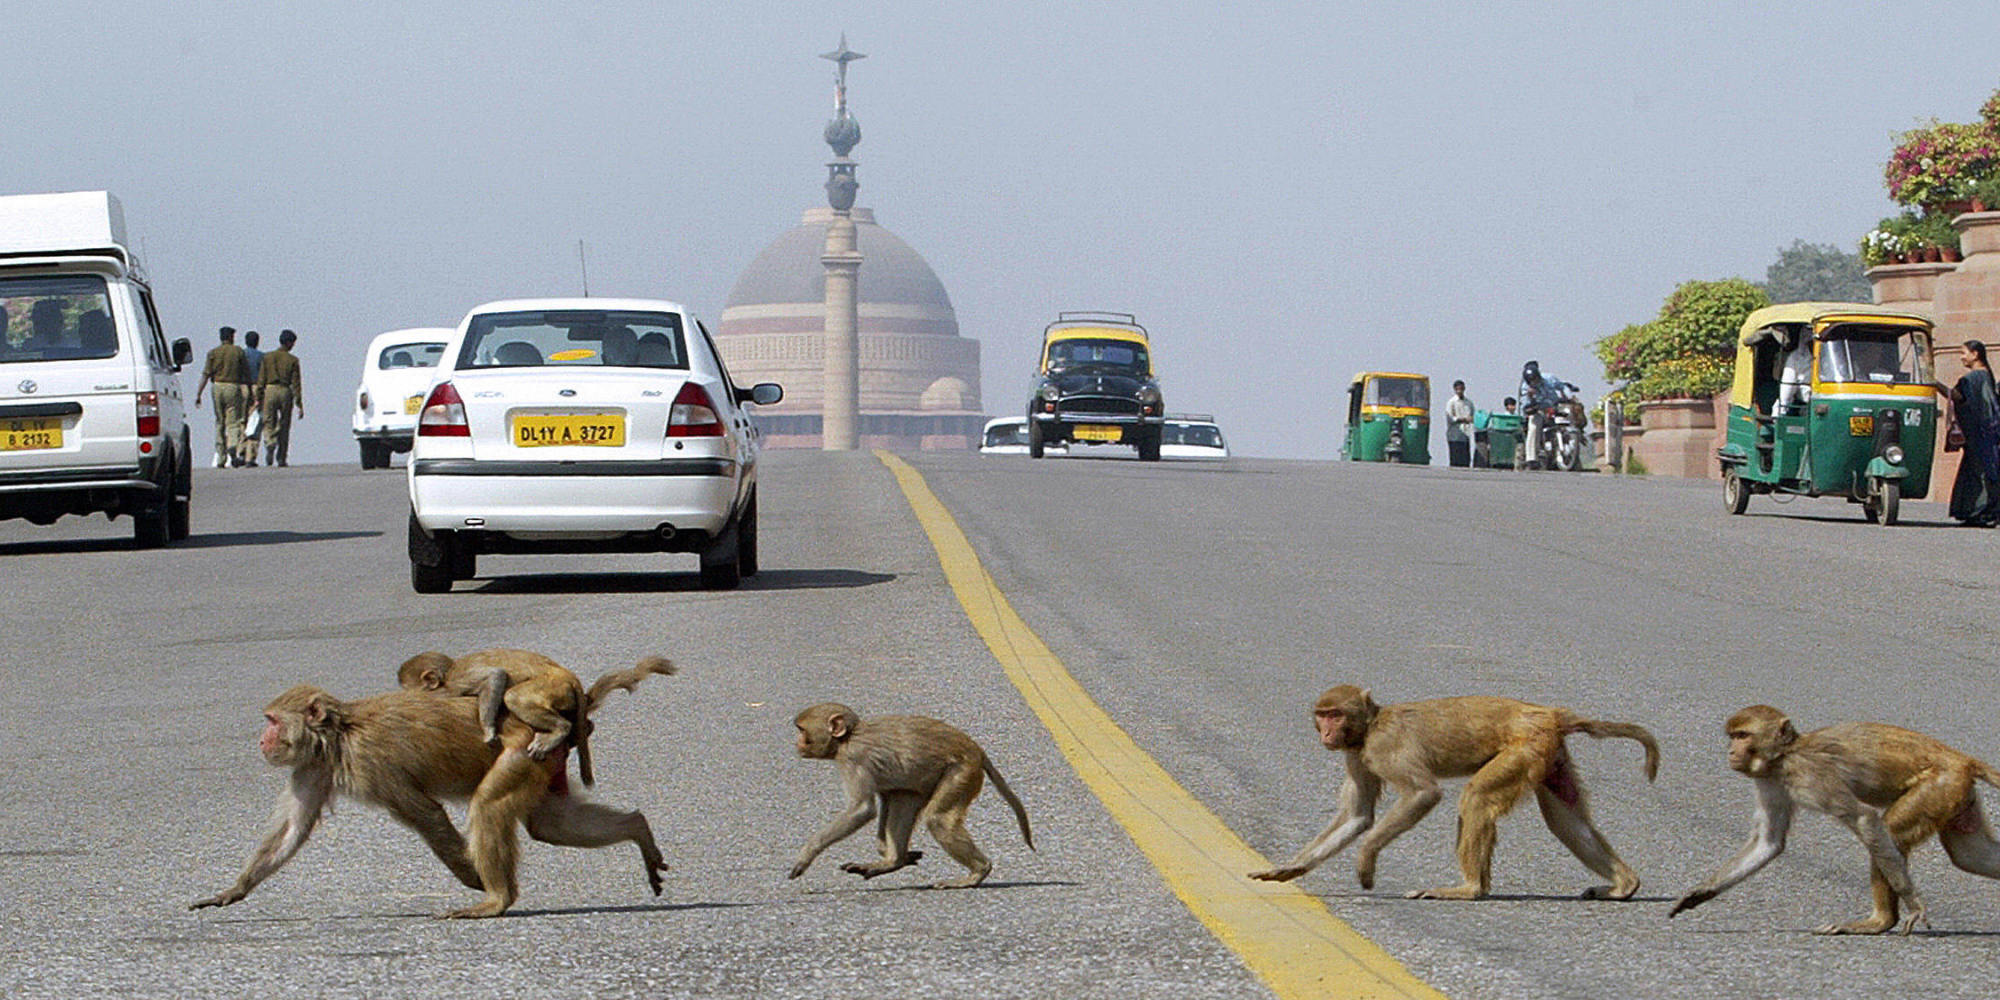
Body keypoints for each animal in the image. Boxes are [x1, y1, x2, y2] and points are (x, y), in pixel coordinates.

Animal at [784, 700, 1032, 888]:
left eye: (802, 730)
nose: (797, 744)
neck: (847, 738)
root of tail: (975, 749)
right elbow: (888, 796)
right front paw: (894, 856)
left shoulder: (853, 759)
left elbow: (862, 809)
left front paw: (806, 854)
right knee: (905, 797)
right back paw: (893, 861)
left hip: (961, 772)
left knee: (938, 819)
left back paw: (977, 873)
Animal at [1248, 688, 1656, 900]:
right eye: (1322, 714)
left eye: (1335, 714)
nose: (1326, 732)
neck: (1369, 726)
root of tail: (1549, 714)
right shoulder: (1357, 757)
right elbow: (1357, 816)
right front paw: (1291, 867)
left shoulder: (1383, 747)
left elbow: (1423, 794)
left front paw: (1365, 859)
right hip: (1549, 755)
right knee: (1565, 819)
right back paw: (1624, 885)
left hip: (1525, 748)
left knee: (1476, 799)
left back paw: (1470, 889)